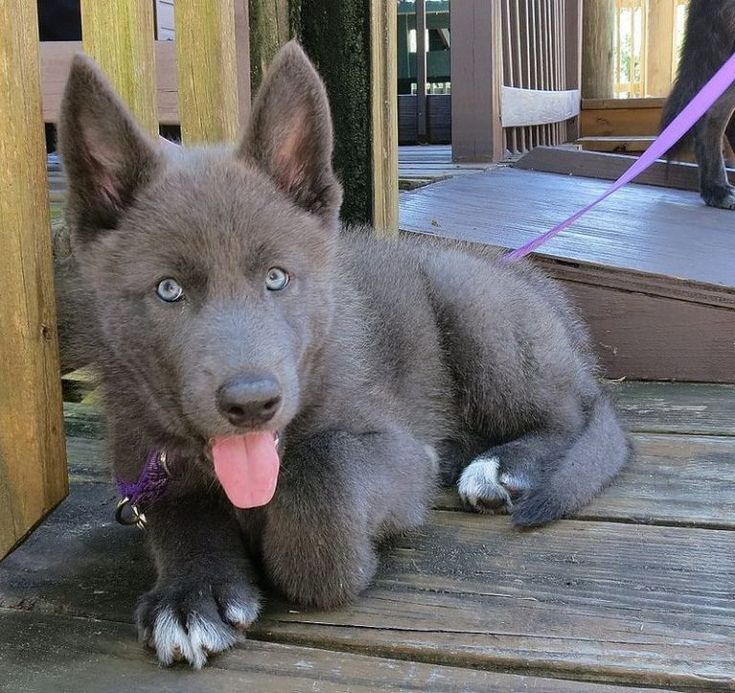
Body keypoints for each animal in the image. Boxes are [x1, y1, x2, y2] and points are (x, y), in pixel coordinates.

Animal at [59, 42, 632, 664]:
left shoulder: (389, 451)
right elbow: (177, 516)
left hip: (473, 307)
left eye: (277, 277)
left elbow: (320, 488)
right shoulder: (149, 471)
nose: (251, 403)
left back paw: (501, 466)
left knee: (567, 415)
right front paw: (192, 594)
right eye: (168, 289)